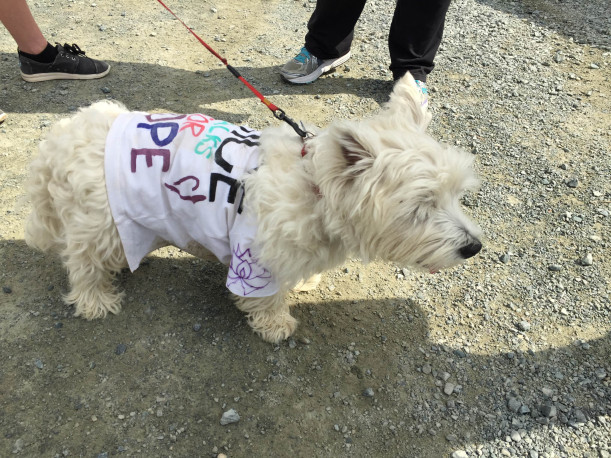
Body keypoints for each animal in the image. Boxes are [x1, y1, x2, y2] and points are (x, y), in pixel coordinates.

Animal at [25, 73, 482, 342]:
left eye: (456, 194)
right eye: (422, 205)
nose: (474, 247)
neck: (315, 189)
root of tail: (58, 140)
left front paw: (304, 283)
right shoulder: (255, 255)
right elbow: (266, 297)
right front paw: (276, 324)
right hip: (97, 223)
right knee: (81, 261)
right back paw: (94, 300)